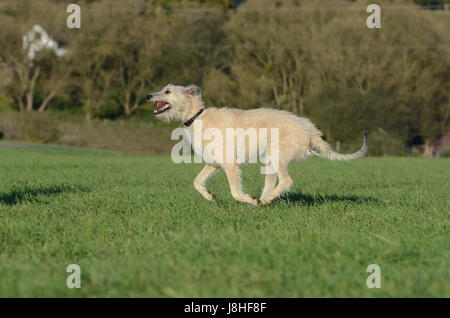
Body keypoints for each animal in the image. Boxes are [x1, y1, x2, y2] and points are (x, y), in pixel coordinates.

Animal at [146, 83, 368, 206]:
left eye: (167, 91)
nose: (148, 95)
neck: (198, 116)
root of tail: (311, 132)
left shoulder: (230, 164)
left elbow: (235, 192)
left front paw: (247, 199)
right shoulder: (213, 163)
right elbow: (196, 182)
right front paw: (209, 197)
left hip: (278, 154)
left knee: (286, 181)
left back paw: (264, 200)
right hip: (270, 161)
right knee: (272, 183)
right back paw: (264, 201)